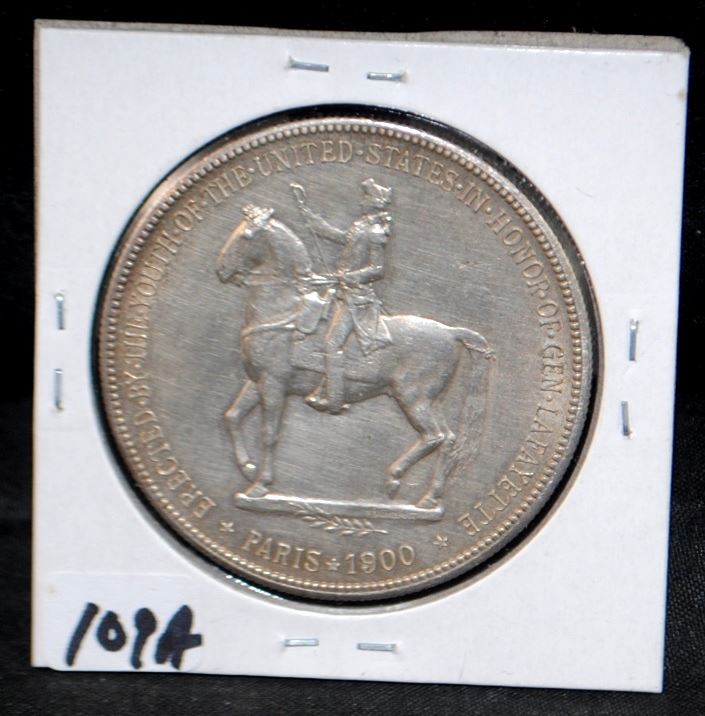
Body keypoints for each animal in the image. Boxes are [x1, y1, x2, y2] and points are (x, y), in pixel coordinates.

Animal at [215, 209, 494, 511]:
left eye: (246, 236)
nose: (221, 270)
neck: (284, 312)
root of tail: (450, 331)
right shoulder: (257, 381)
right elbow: (232, 417)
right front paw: (248, 469)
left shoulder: (273, 383)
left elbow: (269, 433)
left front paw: (260, 486)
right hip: (431, 400)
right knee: (448, 439)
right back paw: (429, 497)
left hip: (413, 397)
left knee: (434, 436)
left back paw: (395, 479)